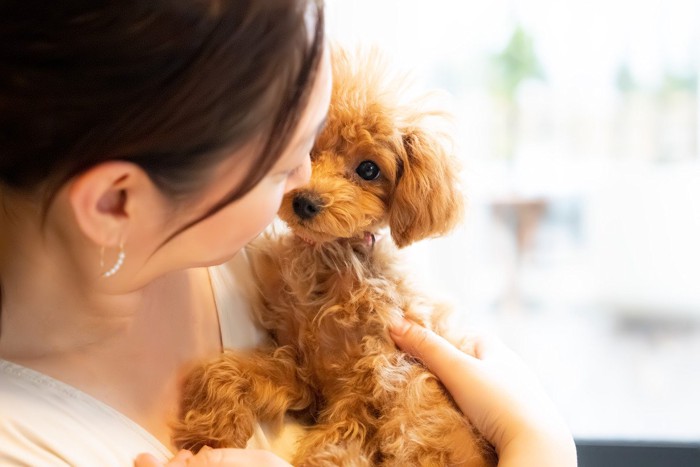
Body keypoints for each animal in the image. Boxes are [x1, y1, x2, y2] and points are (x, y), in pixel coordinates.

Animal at [172, 48, 494, 467]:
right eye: (303, 151)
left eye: (369, 169)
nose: (305, 201)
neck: (330, 262)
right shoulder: (302, 368)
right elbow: (230, 372)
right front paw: (207, 432)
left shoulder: (369, 388)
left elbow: (335, 447)